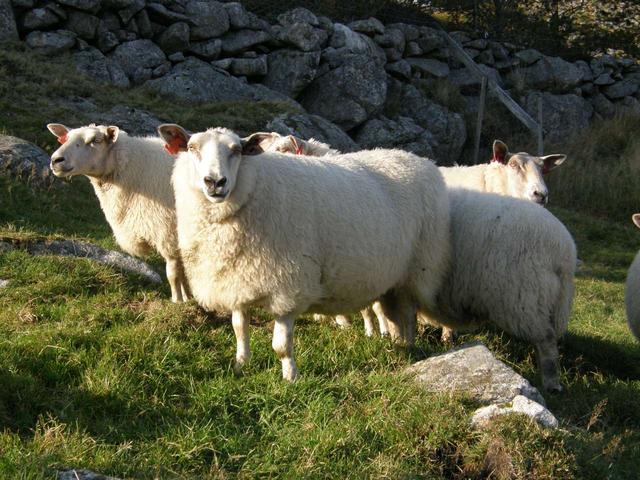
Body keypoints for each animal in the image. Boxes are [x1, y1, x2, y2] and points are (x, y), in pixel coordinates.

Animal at [47, 123, 191, 303]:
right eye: (65, 139)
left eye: (95, 140)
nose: (55, 160)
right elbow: (184, 273)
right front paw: (188, 299)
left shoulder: (168, 232)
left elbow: (173, 273)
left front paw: (177, 301)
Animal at [160, 124, 451, 381]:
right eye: (192, 148)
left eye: (237, 150)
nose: (215, 182)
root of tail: (418, 159)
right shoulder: (238, 280)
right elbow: (239, 329)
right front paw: (241, 365)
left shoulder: (288, 287)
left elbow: (281, 345)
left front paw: (290, 377)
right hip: (388, 275)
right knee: (392, 313)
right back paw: (397, 342)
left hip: (419, 266)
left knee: (410, 312)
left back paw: (409, 346)